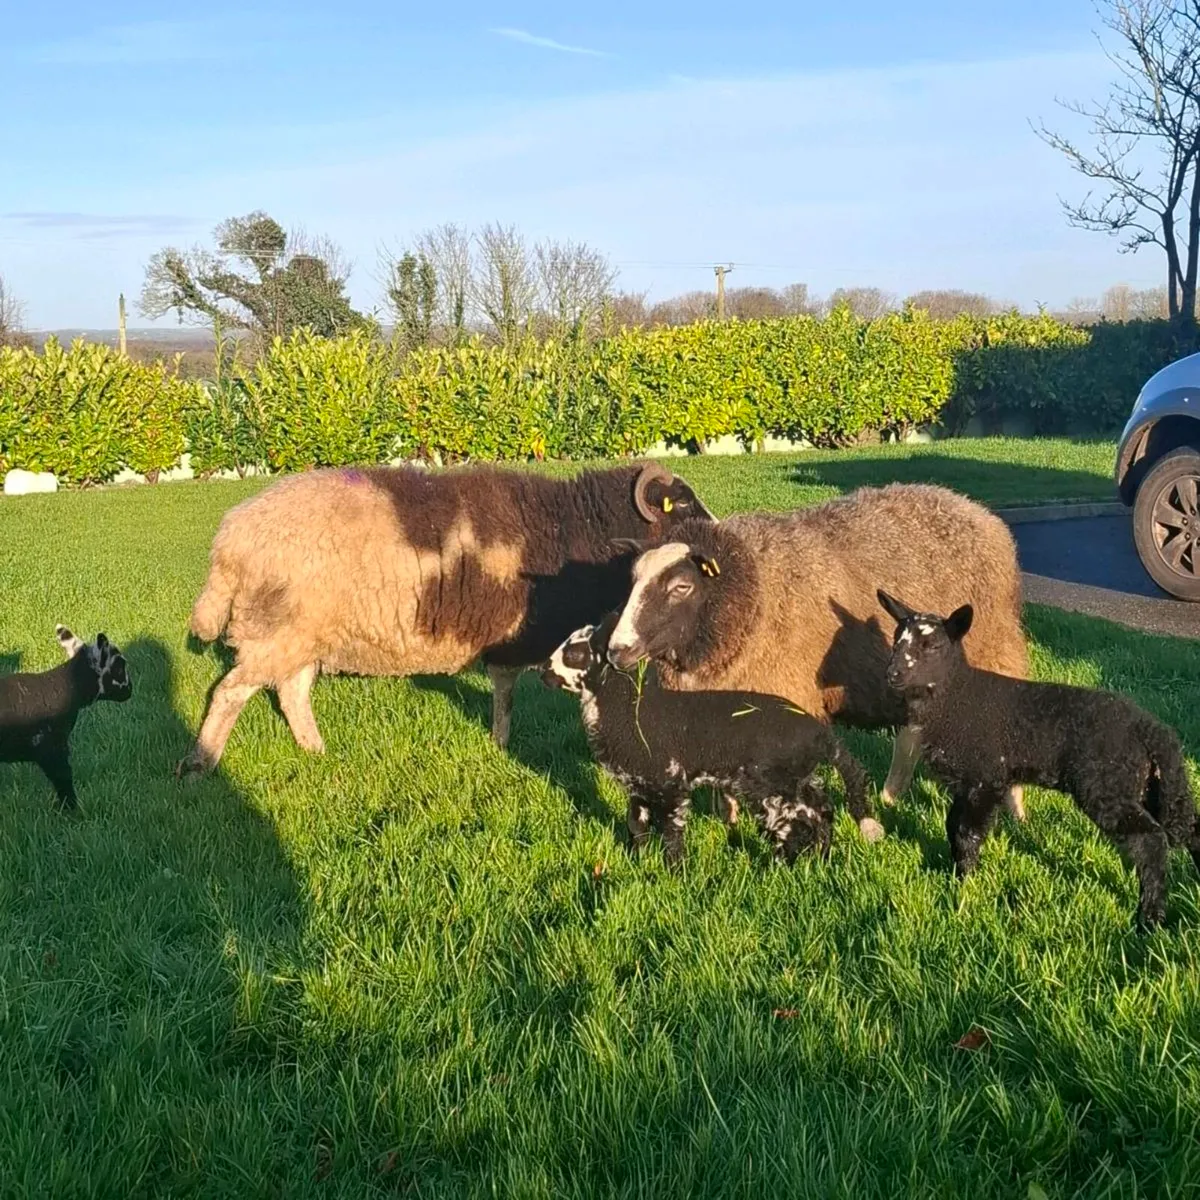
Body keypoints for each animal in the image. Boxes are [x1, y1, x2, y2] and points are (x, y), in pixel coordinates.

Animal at [0, 626, 132, 808]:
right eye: (119, 667)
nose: (130, 690)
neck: (68, 685)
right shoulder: (52, 749)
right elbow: (64, 781)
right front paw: (72, 810)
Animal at [180, 461, 713, 775]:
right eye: (683, 502)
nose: (714, 538)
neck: (570, 526)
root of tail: (228, 541)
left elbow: (503, 693)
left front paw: (498, 744)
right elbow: (507, 695)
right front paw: (502, 744)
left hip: (300, 636)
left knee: (291, 694)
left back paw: (316, 752)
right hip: (276, 631)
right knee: (230, 693)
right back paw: (200, 763)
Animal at [541, 612, 884, 864]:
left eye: (574, 653)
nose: (543, 672)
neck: (630, 710)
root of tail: (819, 734)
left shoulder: (668, 782)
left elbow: (671, 832)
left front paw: (674, 874)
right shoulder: (638, 785)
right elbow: (636, 826)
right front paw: (639, 863)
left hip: (769, 783)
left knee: (796, 822)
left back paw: (781, 865)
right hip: (796, 777)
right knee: (822, 809)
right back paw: (821, 857)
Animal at [604, 483, 1030, 819]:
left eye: (681, 587)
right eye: (633, 580)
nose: (616, 650)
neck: (751, 595)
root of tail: (977, 510)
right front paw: (729, 822)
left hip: (995, 650)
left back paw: (1016, 812)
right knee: (911, 733)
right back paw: (890, 798)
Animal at [877, 589, 1200, 928]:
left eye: (933, 646)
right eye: (897, 639)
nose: (892, 674)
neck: (958, 698)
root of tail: (1152, 728)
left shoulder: (984, 778)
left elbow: (967, 833)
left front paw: (965, 885)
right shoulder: (965, 782)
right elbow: (952, 826)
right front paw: (956, 877)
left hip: (1107, 786)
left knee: (1151, 840)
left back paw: (1148, 919)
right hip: (1146, 784)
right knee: (1191, 827)